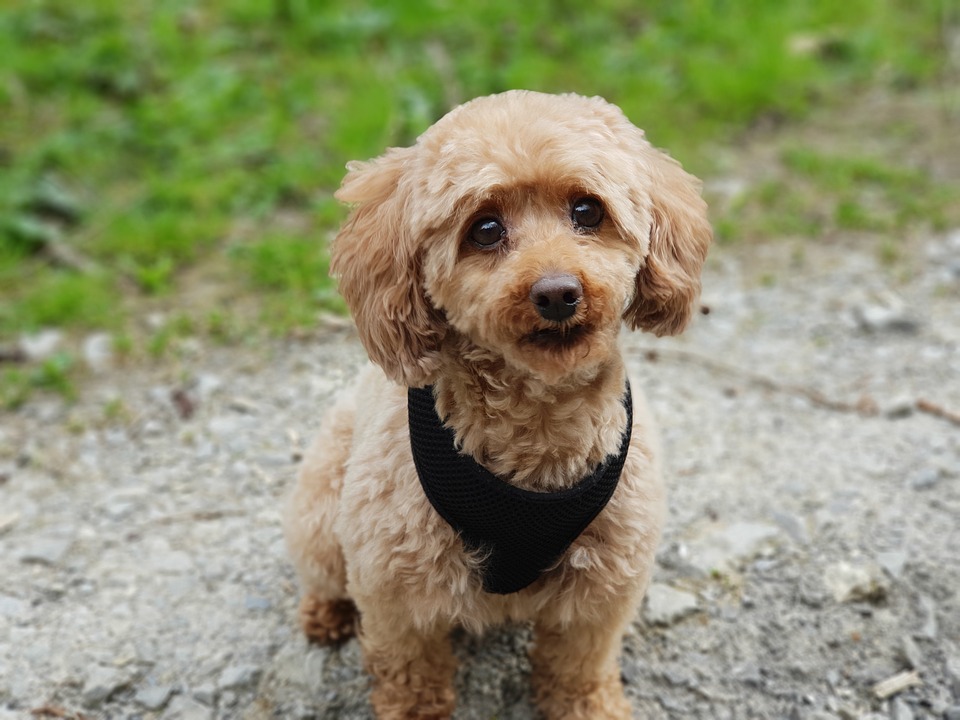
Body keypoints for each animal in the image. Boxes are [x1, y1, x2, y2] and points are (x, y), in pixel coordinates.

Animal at [282, 91, 708, 720]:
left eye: (588, 211)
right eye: (484, 229)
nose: (558, 293)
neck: (537, 430)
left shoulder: (603, 588)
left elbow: (578, 667)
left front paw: (589, 706)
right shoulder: (395, 590)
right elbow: (410, 674)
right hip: (321, 510)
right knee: (323, 574)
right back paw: (325, 612)